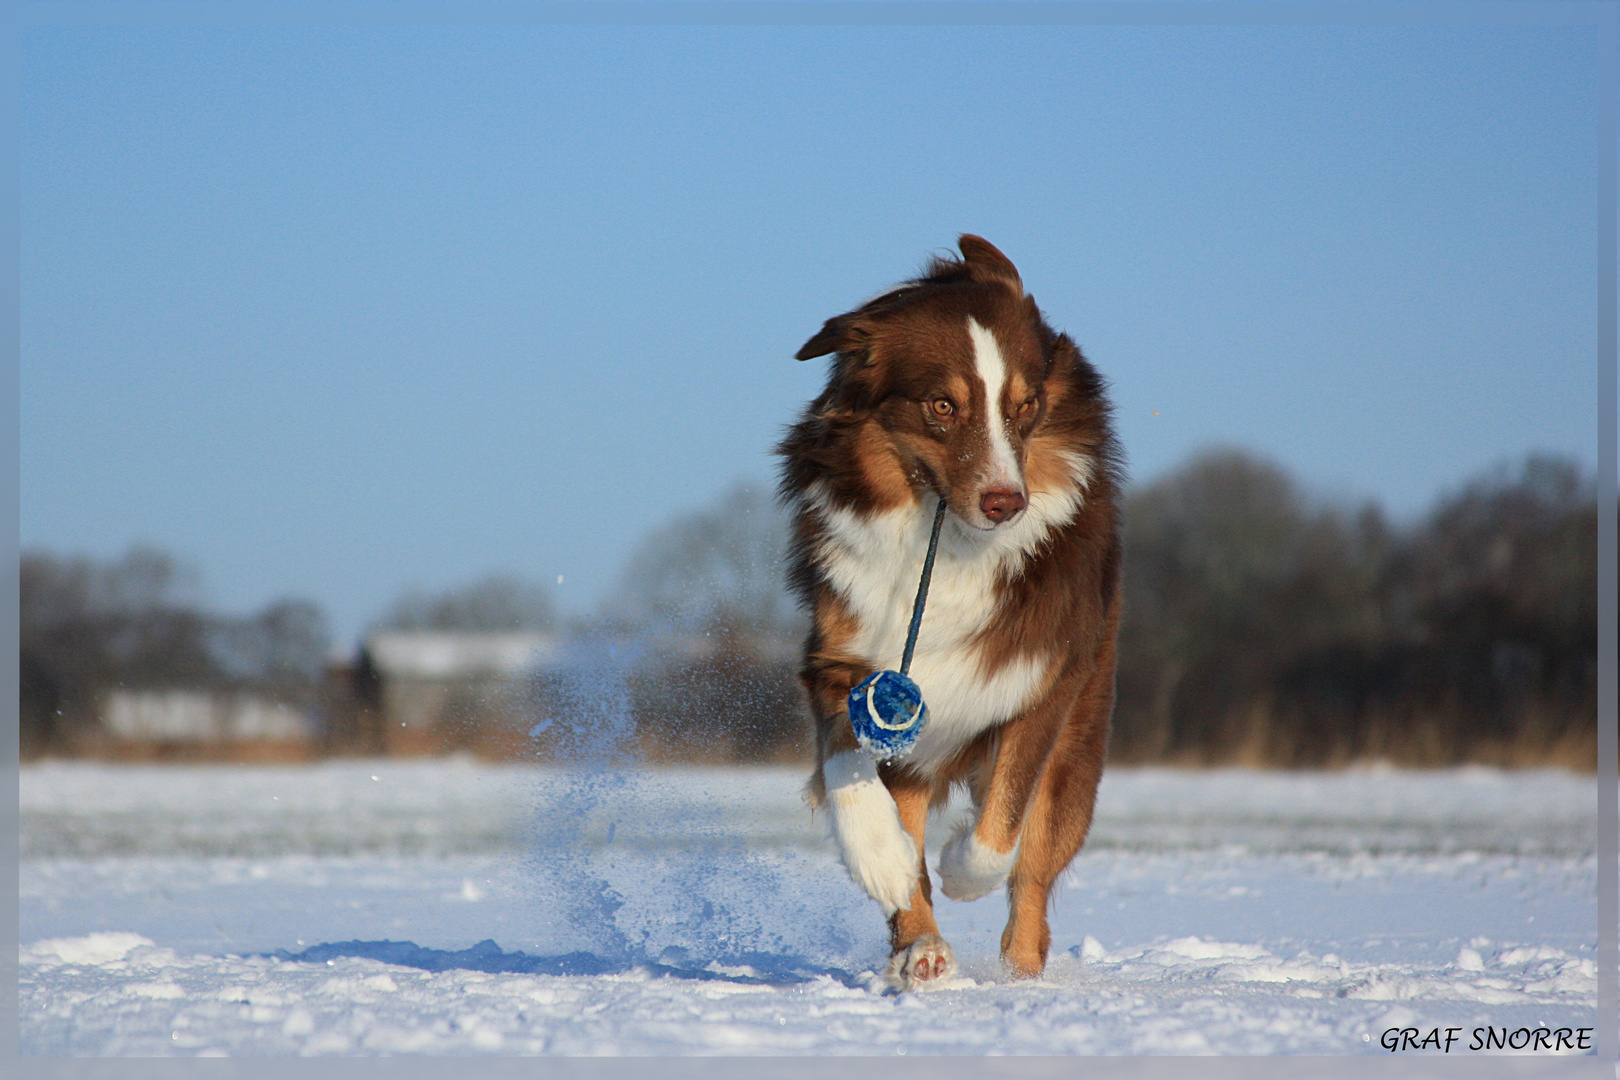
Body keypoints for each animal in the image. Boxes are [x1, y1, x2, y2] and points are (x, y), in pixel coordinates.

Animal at [777, 234, 1121, 990]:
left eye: (1025, 407)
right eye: (941, 405)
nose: (1006, 503)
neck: (947, 545)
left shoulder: (1040, 678)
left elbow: (1004, 823)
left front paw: (964, 864)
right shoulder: (842, 656)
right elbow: (846, 765)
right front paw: (880, 858)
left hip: (1082, 738)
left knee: (1035, 875)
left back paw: (1020, 972)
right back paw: (922, 946)